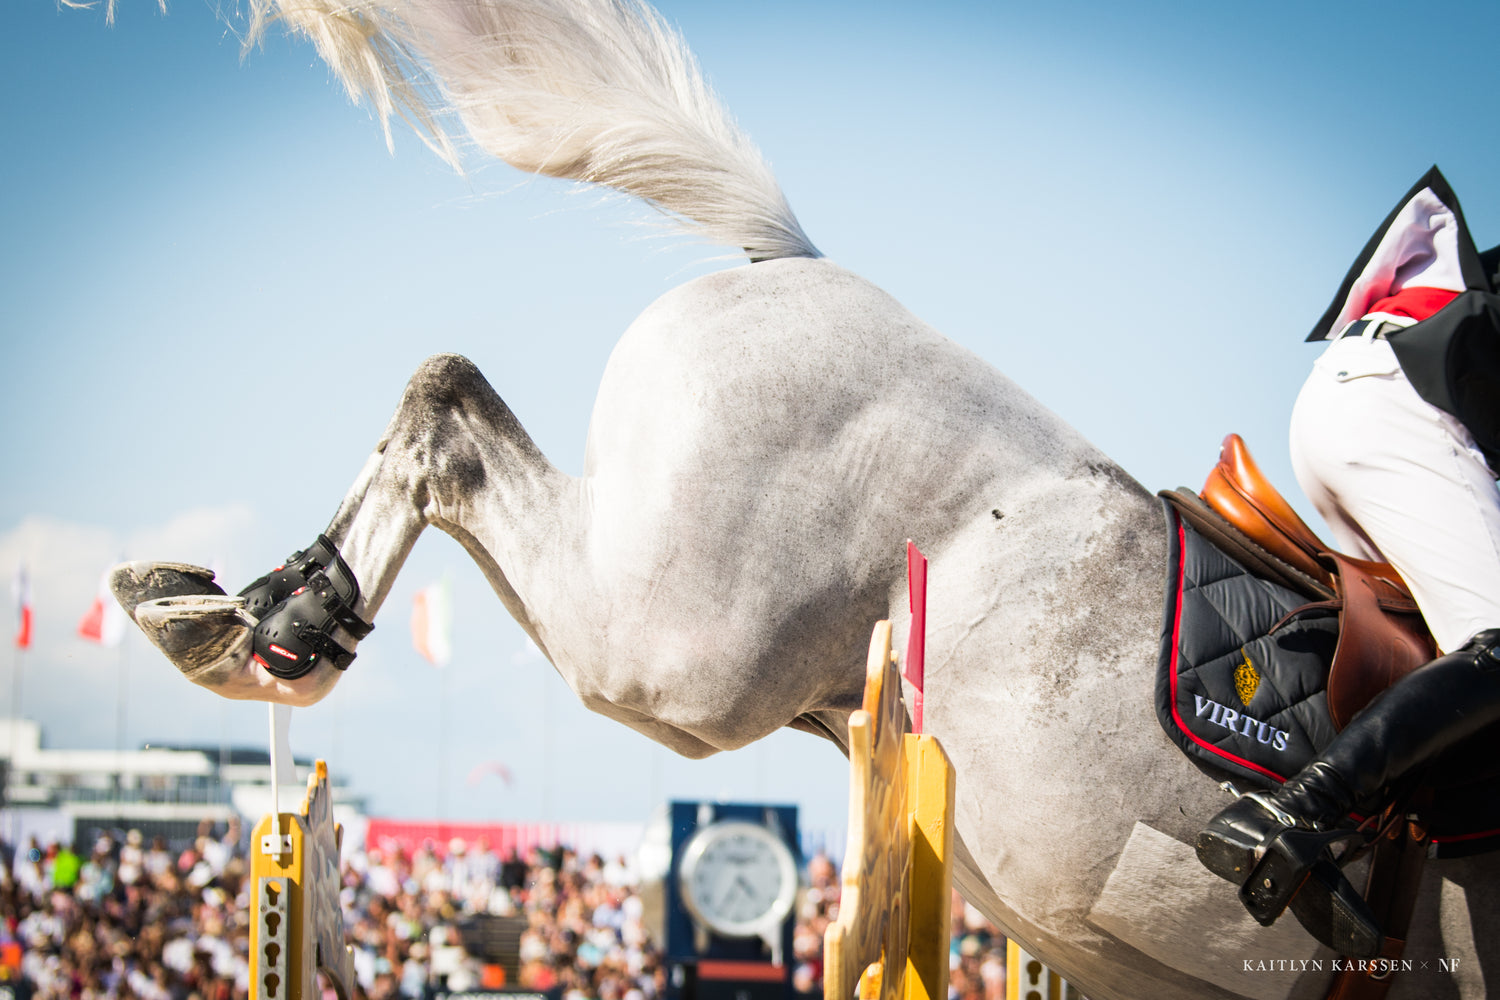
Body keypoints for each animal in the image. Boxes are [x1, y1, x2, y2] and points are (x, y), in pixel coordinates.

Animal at [108, 2, 1500, 997]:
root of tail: (799, 265)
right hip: (675, 650)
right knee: (450, 415)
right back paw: (264, 632)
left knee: (439, 399)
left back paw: (243, 612)